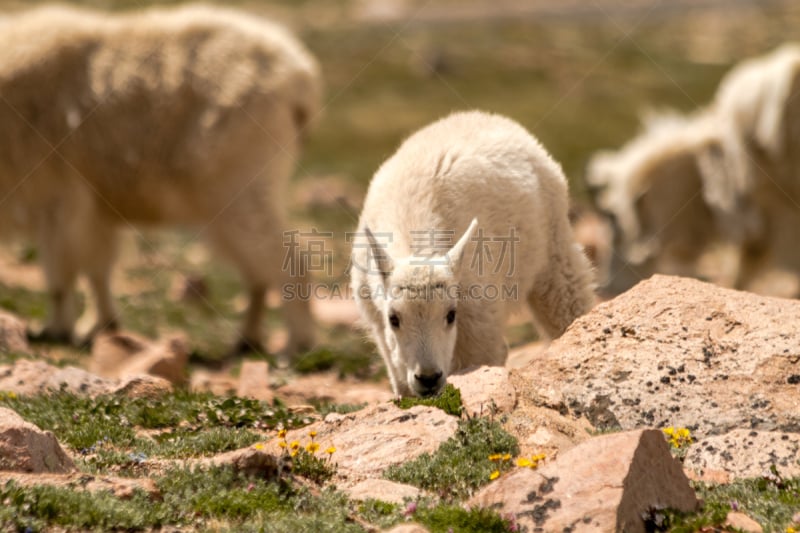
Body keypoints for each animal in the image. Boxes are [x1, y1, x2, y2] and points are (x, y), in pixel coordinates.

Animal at [0, 6, 324, 354]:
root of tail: (300, 79)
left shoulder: (58, 199)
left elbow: (61, 275)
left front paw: (58, 329)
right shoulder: (93, 208)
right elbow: (97, 271)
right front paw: (100, 326)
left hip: (242, 189)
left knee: (287, 262)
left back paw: (295, 346)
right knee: (257, 273)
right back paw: (246, 339)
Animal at [350, 111, 592, 394]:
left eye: (450, 314)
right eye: (393, 318)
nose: (428, 378)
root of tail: (491, 117)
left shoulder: (479, 324)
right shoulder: (380, 328)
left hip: (554, 247)